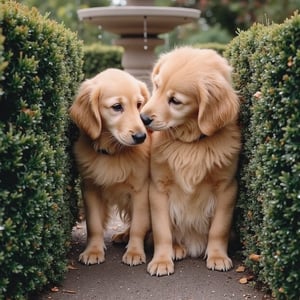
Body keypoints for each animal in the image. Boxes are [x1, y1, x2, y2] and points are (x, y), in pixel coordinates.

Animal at [69, 69, 150, 266]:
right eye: (117, 107)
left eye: (139, 104)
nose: (141, 136)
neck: (114, 152)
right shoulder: (90, 188)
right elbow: (94, 225)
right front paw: (93, 250)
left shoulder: (141, 191)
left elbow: (138, 225)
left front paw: (135, 252)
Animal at [141, 47, 241, 276]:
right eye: (156, 86)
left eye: (175, 101)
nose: (143, 118)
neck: (191, 144)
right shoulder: (158, 188)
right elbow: (162, 231)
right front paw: (161, 260)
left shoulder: (226, 188)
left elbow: (219, 229)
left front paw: (217, 256)